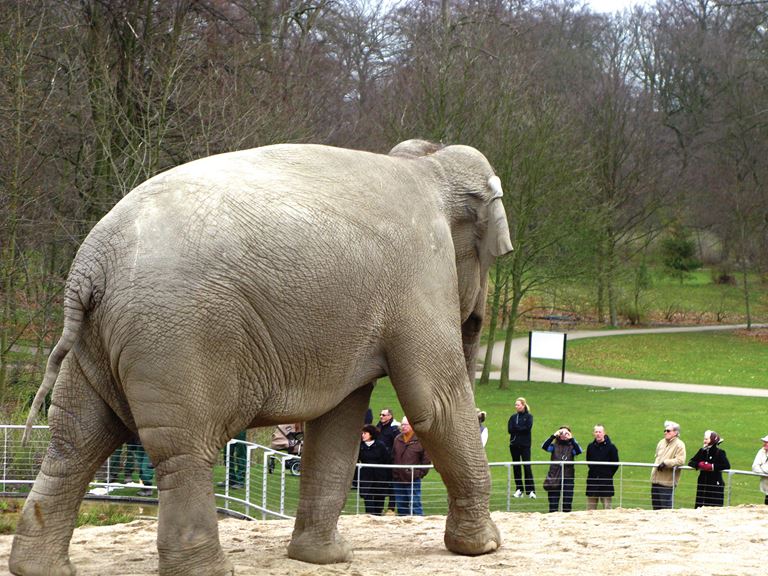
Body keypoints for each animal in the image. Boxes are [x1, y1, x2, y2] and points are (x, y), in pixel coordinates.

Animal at [9, 140, 512, 576]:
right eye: (492, 256)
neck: (428, 165)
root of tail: (90, 265)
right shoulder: (420, 275)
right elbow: (435, 405)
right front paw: (484, 547)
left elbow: (340, 420)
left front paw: (325, 559)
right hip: (178, 335)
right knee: (183, 449)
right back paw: (210, 571)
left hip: (99, 340)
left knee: (74, 439)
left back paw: (39, 568)